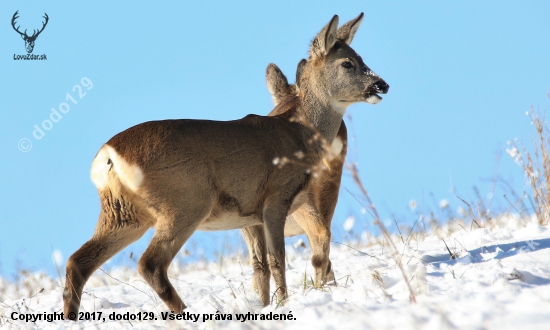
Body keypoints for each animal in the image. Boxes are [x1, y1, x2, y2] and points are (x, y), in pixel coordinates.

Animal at [63, 12, 388, 318]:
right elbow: (278, 260)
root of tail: (108, 155)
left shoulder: (250, 215)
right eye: (347, 63)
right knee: (149, 264)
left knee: (78, 261)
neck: (300, 133)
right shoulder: (276, 197)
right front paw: (284, 305)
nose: (381, 84)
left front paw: (266, 307)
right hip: (184, 202)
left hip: (122, 213)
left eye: (362, 58)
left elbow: (261, 267)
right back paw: (185, 312)